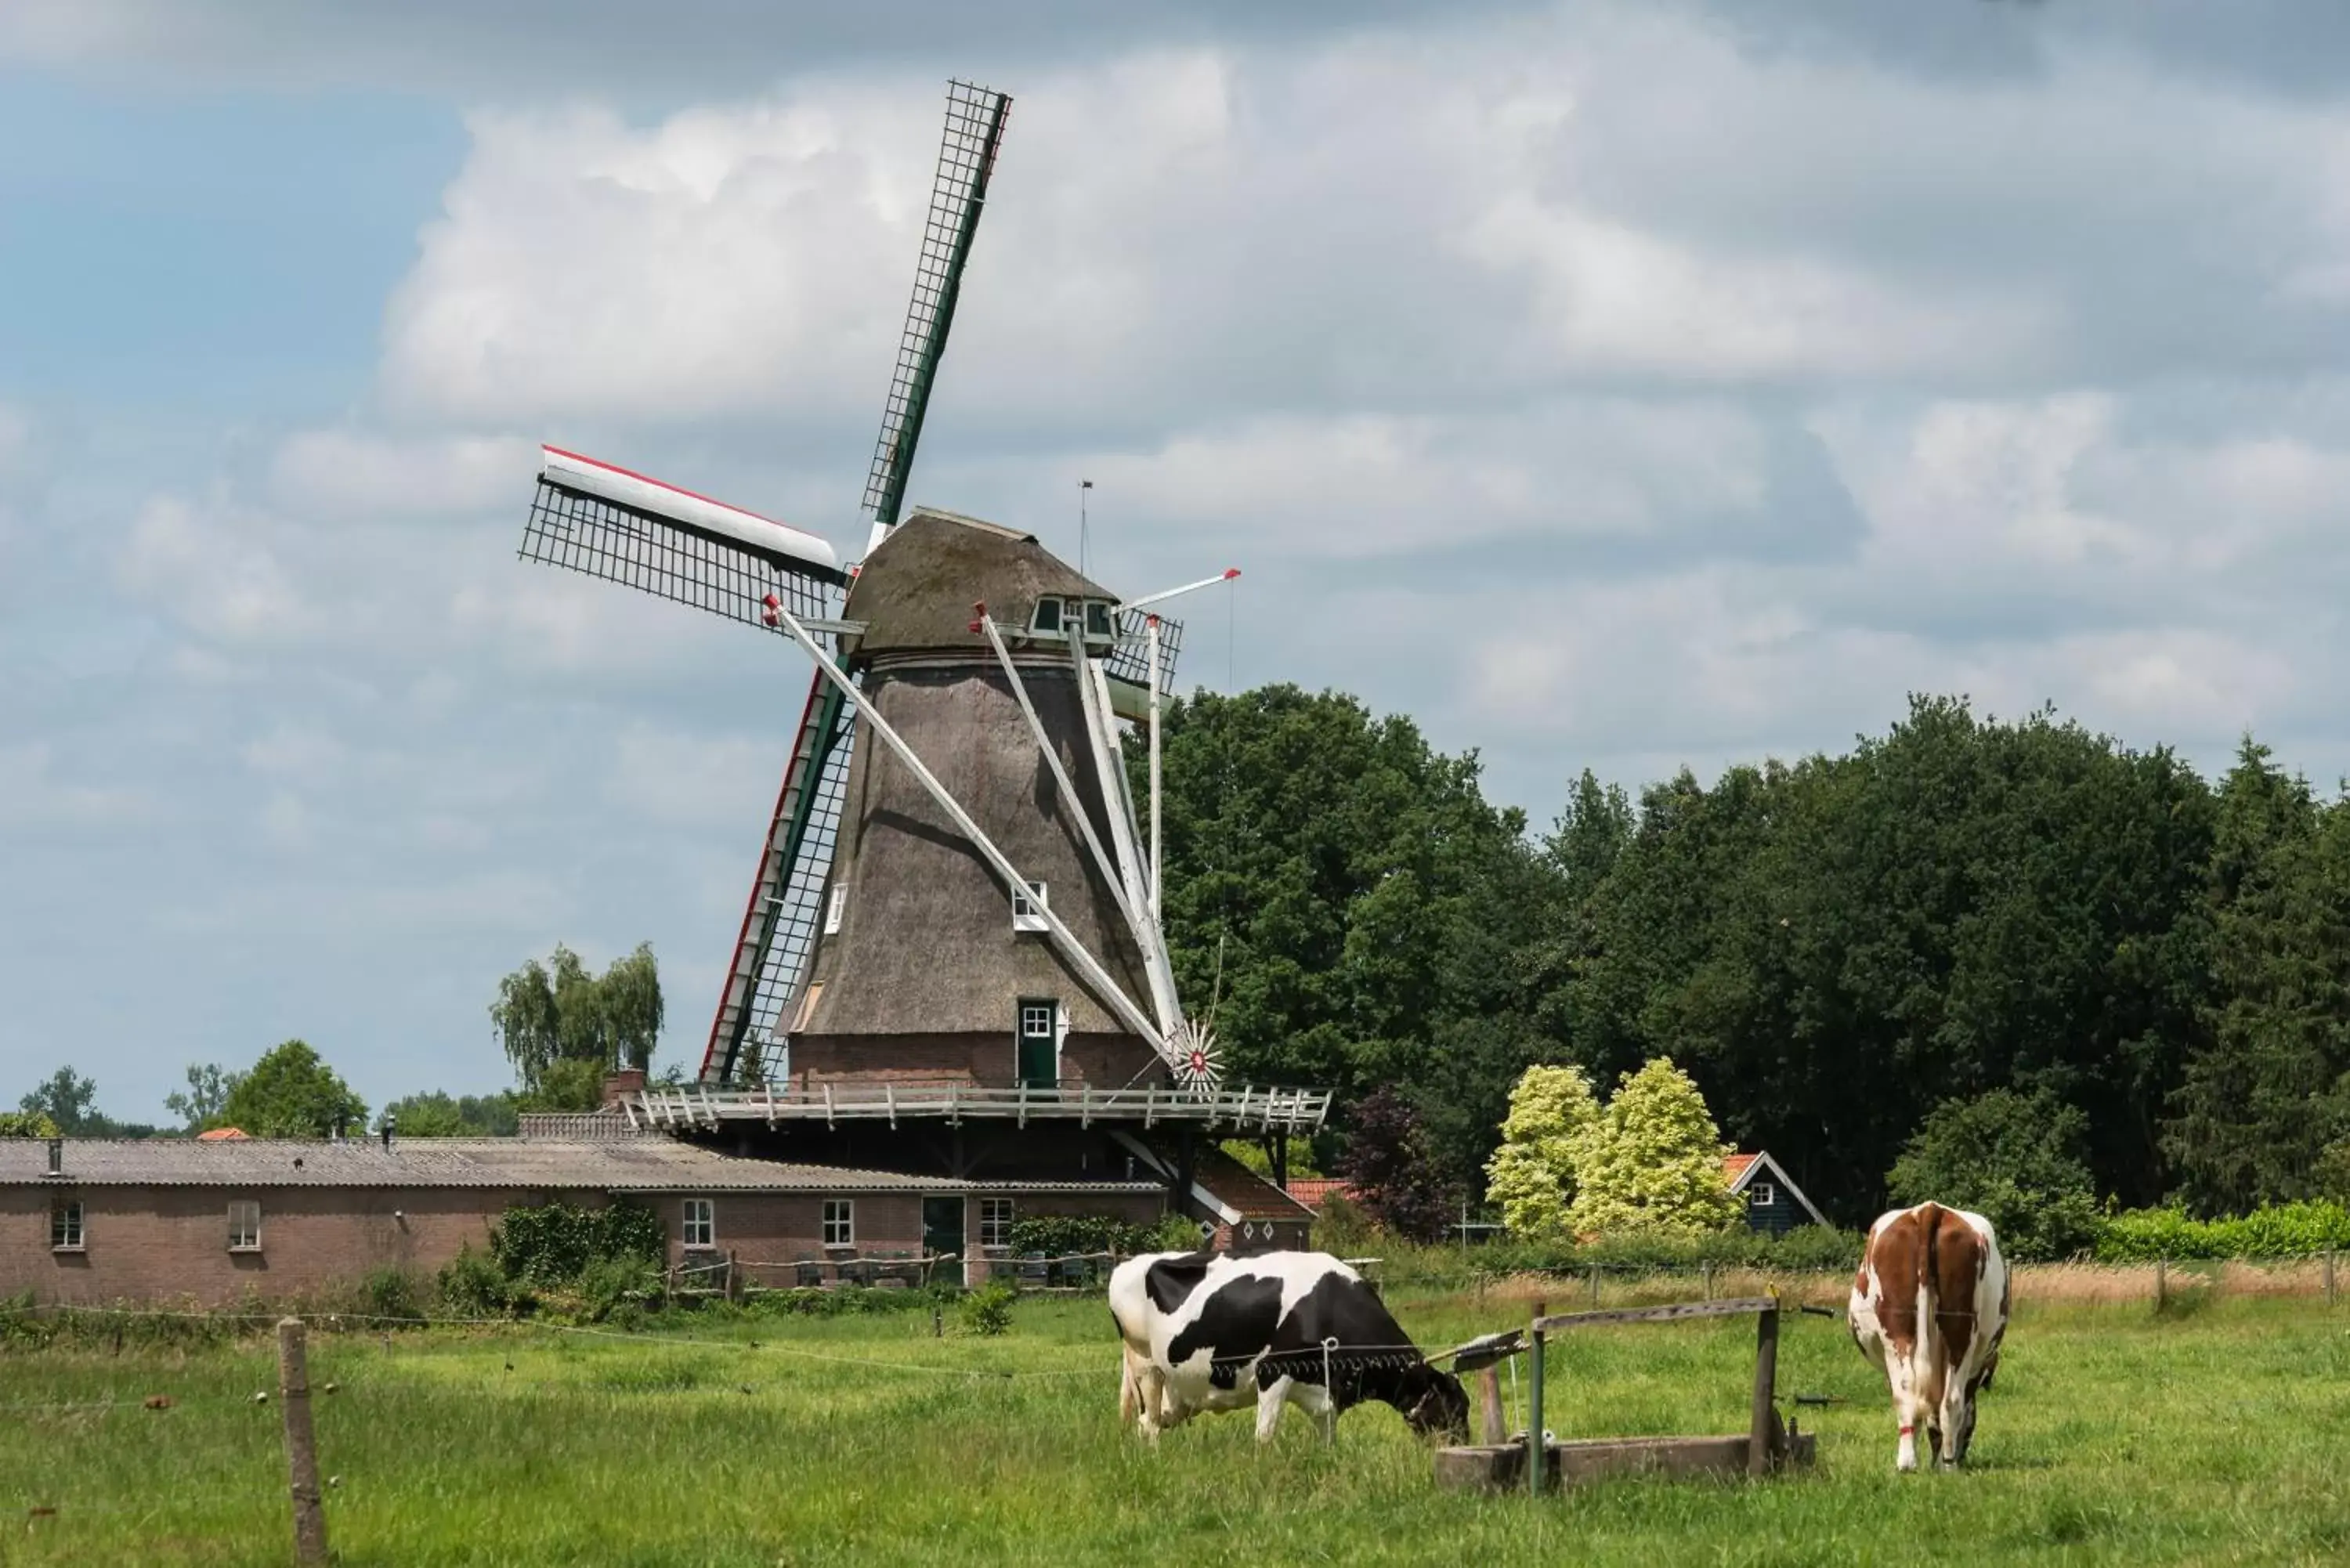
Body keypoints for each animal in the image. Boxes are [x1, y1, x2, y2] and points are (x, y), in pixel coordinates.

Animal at [1104, 1250, 1466, 1447]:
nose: (1461, 1445)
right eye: (1454, 1411)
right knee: (1149, 1421)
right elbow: (1264, 1435)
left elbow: (1328, 1438)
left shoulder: (1326, 1392)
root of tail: (1128, 1263)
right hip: (1145, 1364)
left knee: (1155, 1418)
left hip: (1177, 1389)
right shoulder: (1272, 1371)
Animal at [1842, 1203, 2012, 1476]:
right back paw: (1940, 1464)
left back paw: (1918, 1463)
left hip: (1899, 1333)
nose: (1964, 1455)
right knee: (1942, 1399)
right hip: (1958, 1331)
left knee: (1915, 1393)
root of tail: (1929, 1209)